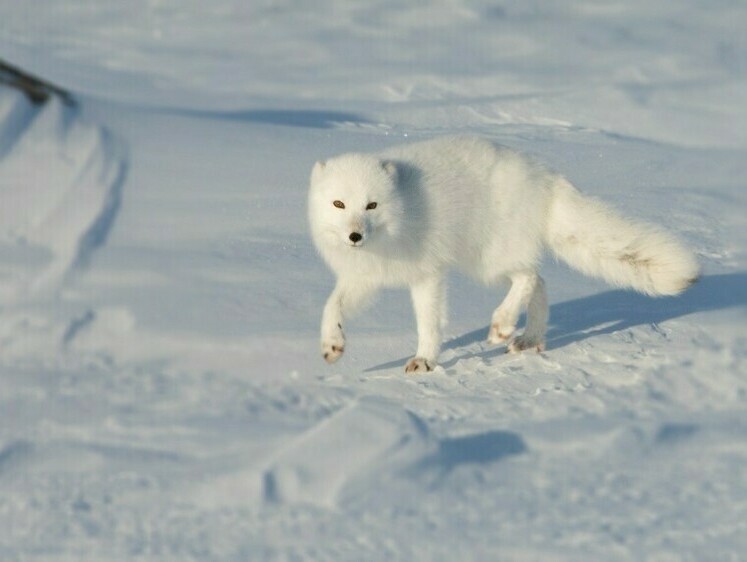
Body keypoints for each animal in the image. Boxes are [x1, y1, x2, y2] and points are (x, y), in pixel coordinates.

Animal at [306, 136, 700, 372]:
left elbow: (429, 323)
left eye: (372, 205)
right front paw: (332, 345)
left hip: (487, 260)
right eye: (339, 204)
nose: (355, 235)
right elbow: (331, 305)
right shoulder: (365, 277)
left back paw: (503, 326)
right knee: (540, 283)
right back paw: (530, 338)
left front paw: (425, 360)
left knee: (529, 277)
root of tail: (544, 176)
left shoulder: (428, 274)